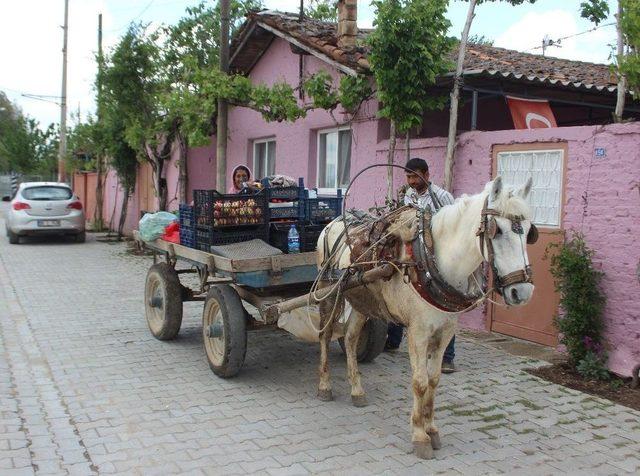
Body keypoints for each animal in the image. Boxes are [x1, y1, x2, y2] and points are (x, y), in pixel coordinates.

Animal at [316, 177, 536, 460]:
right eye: (496, 231)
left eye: (529, 232)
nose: (522, 291)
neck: (432, 258)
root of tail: (332, 223)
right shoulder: (418, 331)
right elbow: (419, 382)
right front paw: (419, 436)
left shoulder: (445, 331)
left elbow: (433, 379)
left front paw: (432, 429)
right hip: (329, 292)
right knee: (324, 335)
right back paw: (324, 385)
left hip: (361, 299)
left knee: (351, 338)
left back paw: (357, 389)